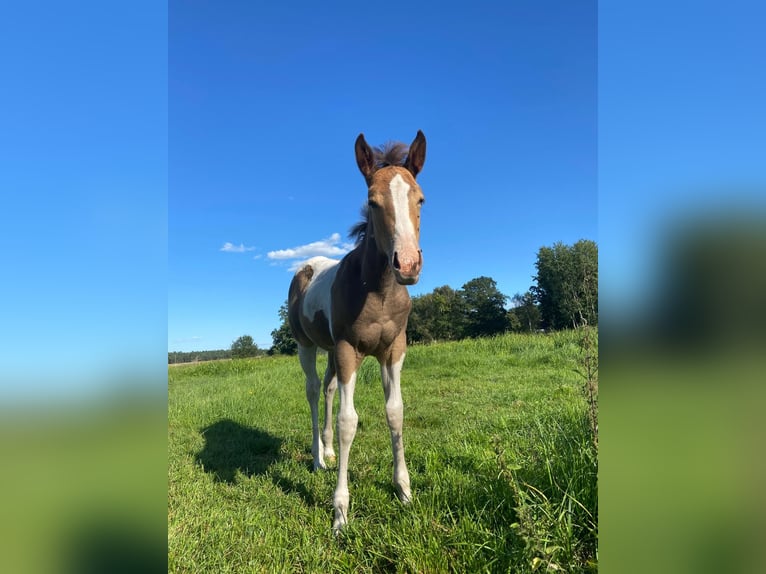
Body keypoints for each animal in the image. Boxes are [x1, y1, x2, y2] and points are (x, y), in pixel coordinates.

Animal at [287, 130, 426, 531]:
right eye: (372, 201)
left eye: (420, 199)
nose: (407, 264)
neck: (377, 290)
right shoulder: (349, 348)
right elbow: (348, 421)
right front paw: (340, 512)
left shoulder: (393, 349)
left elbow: (395, 412)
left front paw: (404, 491)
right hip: (307, 346)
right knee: (314, 391)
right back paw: (318, 458)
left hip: (333, 351)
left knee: (330, 388)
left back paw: (329, 451)